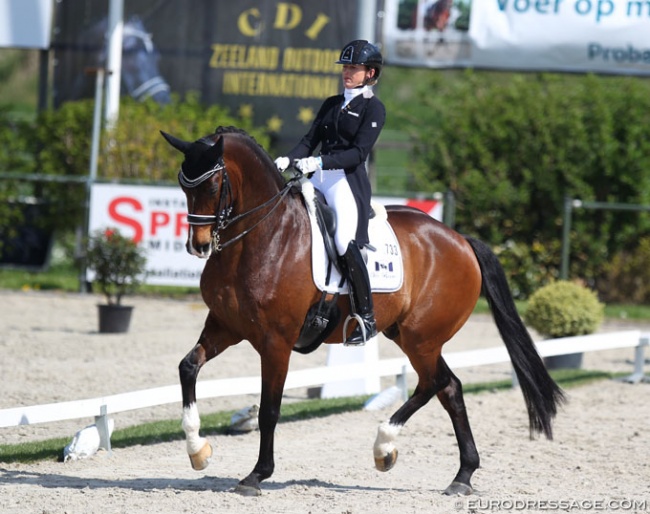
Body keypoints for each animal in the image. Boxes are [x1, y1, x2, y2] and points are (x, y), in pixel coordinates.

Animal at [158, 126, 560, 494]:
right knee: (450, 388)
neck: (263, 237)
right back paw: (461, 476)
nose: (198, 246)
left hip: (421, 337)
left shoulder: (276, 342)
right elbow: (187, 367)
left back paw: (384, 447)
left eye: (212, 186)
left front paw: (257, 475)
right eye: (183, 186)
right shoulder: (226, 326)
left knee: (433, 384)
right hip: (411, 336)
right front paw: (198, 451)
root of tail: (460, 238)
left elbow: (269, 410)